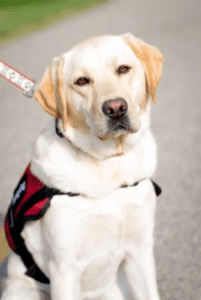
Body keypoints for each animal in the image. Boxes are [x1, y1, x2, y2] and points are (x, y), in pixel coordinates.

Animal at [1, 33, 163, 300]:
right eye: (82, 81)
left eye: (123, 69)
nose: (115, 108)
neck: (109, 165)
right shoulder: (64, 269)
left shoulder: (139, 252)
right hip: (21, 291)